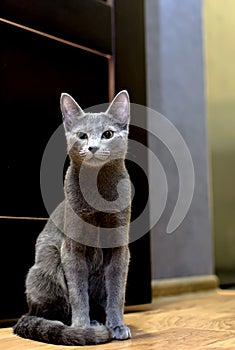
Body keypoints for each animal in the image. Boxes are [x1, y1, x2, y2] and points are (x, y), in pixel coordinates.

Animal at [13, 90, 132, 344]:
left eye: (107, 134)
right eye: (82, 135)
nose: (93, 147)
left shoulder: (119, 247)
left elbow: (117, 290)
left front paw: (117, 326)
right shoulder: (71, 249)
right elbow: (78, 291)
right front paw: (82, 326)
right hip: (47, 263)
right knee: (53, 311)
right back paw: (84, 326)